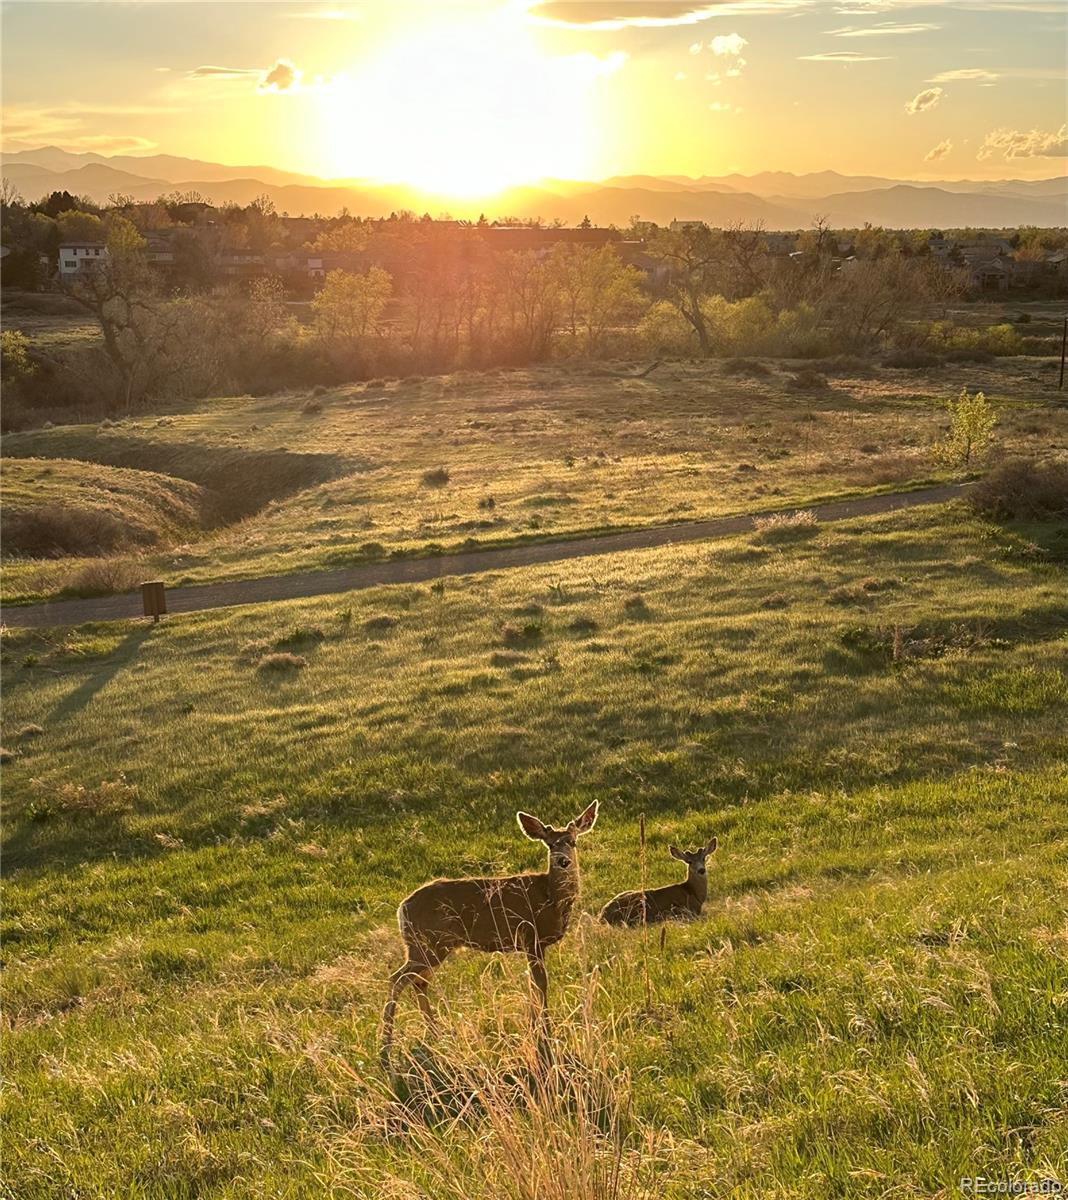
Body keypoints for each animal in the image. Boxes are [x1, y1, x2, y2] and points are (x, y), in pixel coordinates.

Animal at [381, 801, 600, 1065]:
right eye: (550, 844)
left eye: (572, 841)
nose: (562, 861)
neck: (552, 899)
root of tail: (402, 908)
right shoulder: (531, 936)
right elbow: (541, 983)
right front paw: (545, 1030)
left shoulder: (529, 943)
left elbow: (532, 984)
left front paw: (534, 1026)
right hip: (427, 943)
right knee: (397, 979)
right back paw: (386, 1046)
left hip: (430, 946)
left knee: (418, 981)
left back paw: (435, 1032)